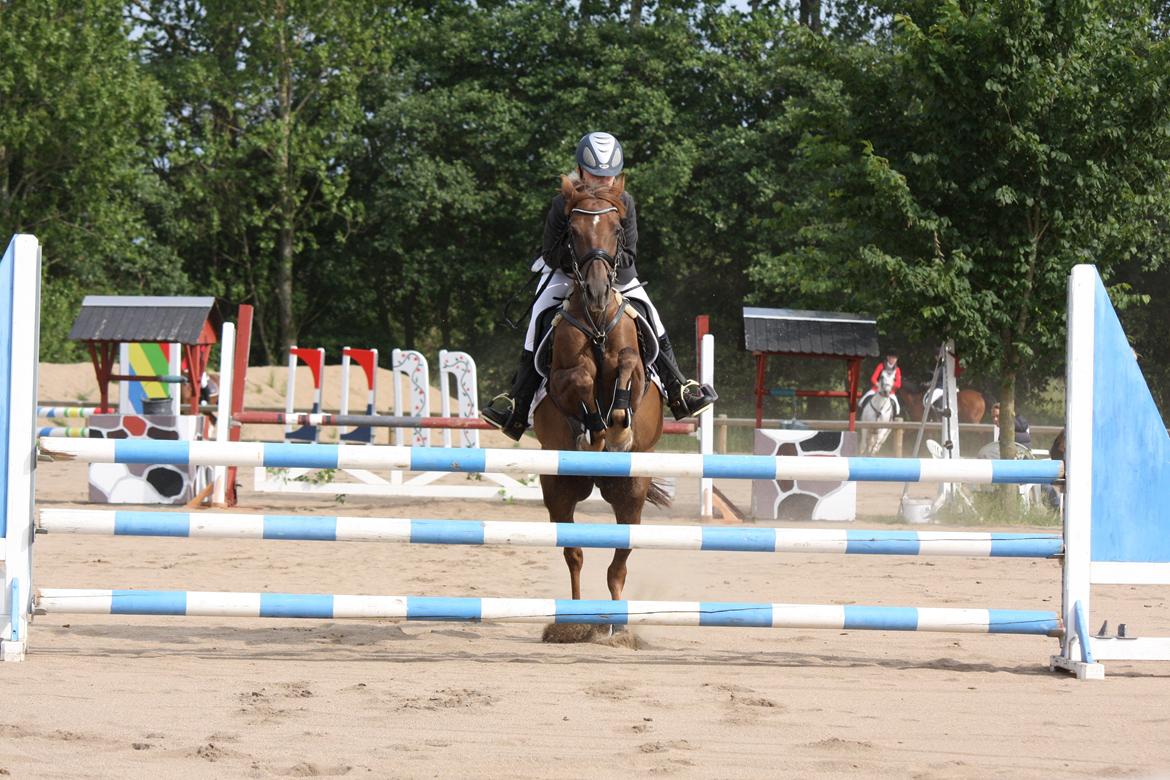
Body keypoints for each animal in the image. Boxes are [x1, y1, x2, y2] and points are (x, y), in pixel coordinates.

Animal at [532, 176, 670, 639]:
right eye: (572, 232)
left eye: (615, 230)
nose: (595, 292)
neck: (594, 323)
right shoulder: (560, 378)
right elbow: (579, 379)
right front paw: (594, 426)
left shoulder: (635, 368)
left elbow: (627, 365)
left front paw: (619, 425)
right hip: (559, 488)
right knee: (574, 555)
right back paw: (574, 623)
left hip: (630, 491)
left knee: (618, 564)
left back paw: (617, 628)